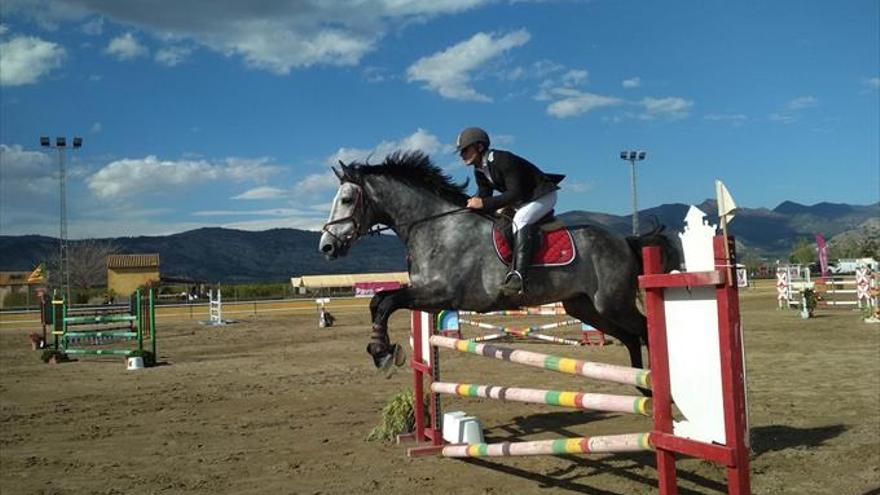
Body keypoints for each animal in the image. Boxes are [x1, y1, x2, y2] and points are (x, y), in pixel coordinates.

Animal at [318, 149, 680, 382]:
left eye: (347, 200)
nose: (326, 246)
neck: (436, 225)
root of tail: (624, 240)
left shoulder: (441, 293)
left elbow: (386, 301)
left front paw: (382, 352)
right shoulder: (426, 294)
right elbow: (380, 300)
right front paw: (379, 349)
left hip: (612, 301)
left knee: (643, 330)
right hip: (584, 307)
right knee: (631, 337)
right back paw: (642, 388)